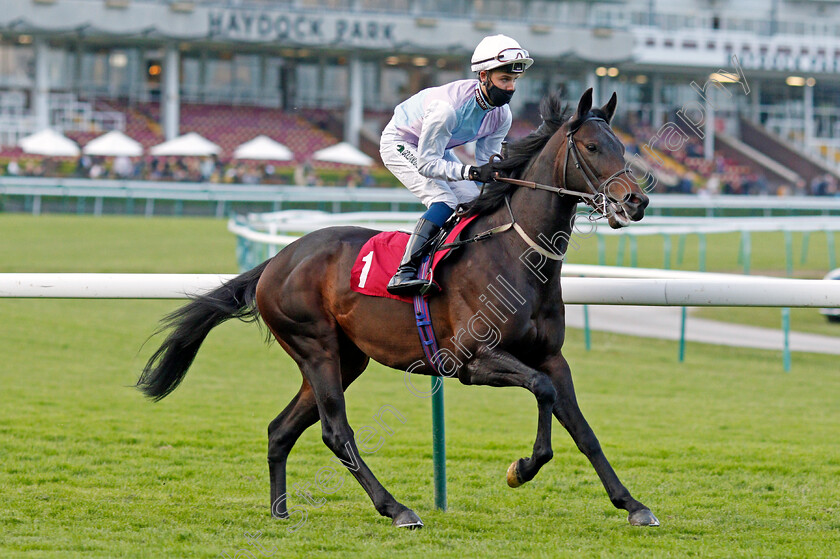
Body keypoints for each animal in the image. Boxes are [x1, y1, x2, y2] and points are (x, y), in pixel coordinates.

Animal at [141, 88, 660, 528]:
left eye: (622, 146)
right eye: (591, 147)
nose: (635, 200)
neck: (514, 253)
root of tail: (277, 260)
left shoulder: (552, 356)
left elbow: (582, 428)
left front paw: (632, 504)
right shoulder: (473, 361)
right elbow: (543, 392)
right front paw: (522, 468)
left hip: (345, 358)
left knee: (280, 429)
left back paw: (280, 511)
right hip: (317, 348)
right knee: (336, 432)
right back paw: (396, 508)